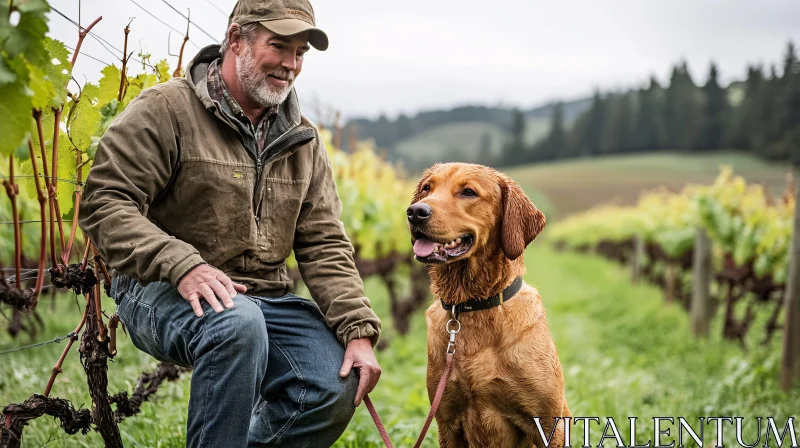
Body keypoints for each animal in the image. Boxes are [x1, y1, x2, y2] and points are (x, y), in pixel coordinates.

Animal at [406, 164, 568, 448]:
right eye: (427, 188)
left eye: (468, 192)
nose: (415, 212)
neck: (474, 305)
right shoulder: (446, 420)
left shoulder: (549, 424)